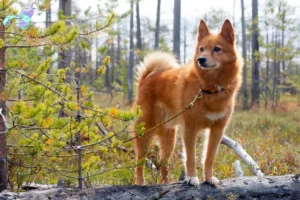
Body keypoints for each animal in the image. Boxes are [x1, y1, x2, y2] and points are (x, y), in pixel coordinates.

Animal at [134, 19, 241, 187]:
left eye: (217, 49)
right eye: (201, 49)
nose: (201, 59)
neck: (209, 89)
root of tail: (147, 79)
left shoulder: (217, 130)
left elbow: (209, 158)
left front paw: (209, 178)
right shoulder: (190, 128)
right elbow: (190, 158)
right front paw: (191, 178)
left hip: (169, 138)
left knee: (163, 164)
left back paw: (166, 184)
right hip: (145, 132)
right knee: (139, 162)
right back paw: (140, 183)